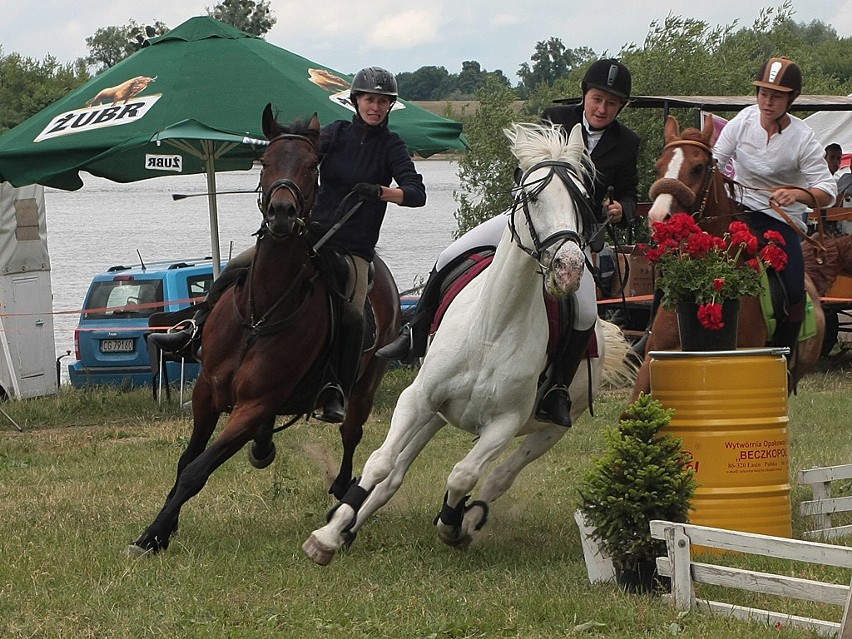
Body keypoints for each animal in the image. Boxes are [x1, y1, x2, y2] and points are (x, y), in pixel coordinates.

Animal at [126, 105, 400, 556]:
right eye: (266, 161)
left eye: (312, 166)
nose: (282, 214)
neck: (262, 311)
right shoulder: (206, 393)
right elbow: (186, 461)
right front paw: (162, 530)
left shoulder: (253, 404)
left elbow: (197, 470)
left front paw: (153, 533)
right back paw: (263, 446)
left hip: (365, 385)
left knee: (350, 434)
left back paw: (341, 497)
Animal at [302, 120, 636, 564]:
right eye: (532, 196)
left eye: (582, 201)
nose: (569, 269)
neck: (492, 328)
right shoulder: (419, 399)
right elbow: (380, 464)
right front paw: (328, 535)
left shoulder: (504, 424)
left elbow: (463, 475)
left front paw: (451, 523)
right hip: (435, 414)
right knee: (395, 474)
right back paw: (350, 526)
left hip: (550, 431)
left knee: (497, 478)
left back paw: (468, 519)